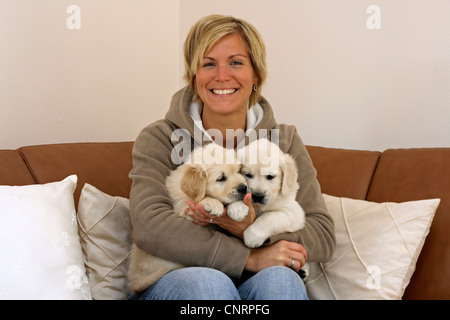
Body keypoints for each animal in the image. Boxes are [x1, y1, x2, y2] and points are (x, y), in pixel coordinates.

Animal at [128, 144, 250, 294]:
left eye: (239, 171)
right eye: (221, 178)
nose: (244, 188)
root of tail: (135, 281)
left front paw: (239, 208)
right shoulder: (182, 209)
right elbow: (199, 200)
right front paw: (212, 203)